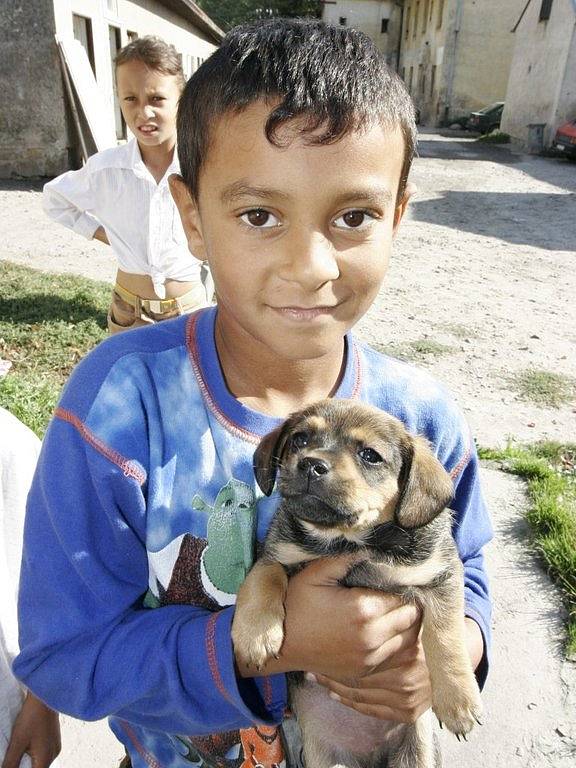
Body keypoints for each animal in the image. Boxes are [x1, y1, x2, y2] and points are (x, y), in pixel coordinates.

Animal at [232, 402, 484, 768]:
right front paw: (255, 634)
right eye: (300, 439)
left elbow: (446, 636)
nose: (311, 464)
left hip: (417, 751)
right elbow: (263, 578)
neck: (347, 540)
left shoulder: (441, 574)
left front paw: (458, 701)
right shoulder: (276, 553)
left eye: (369, 455)